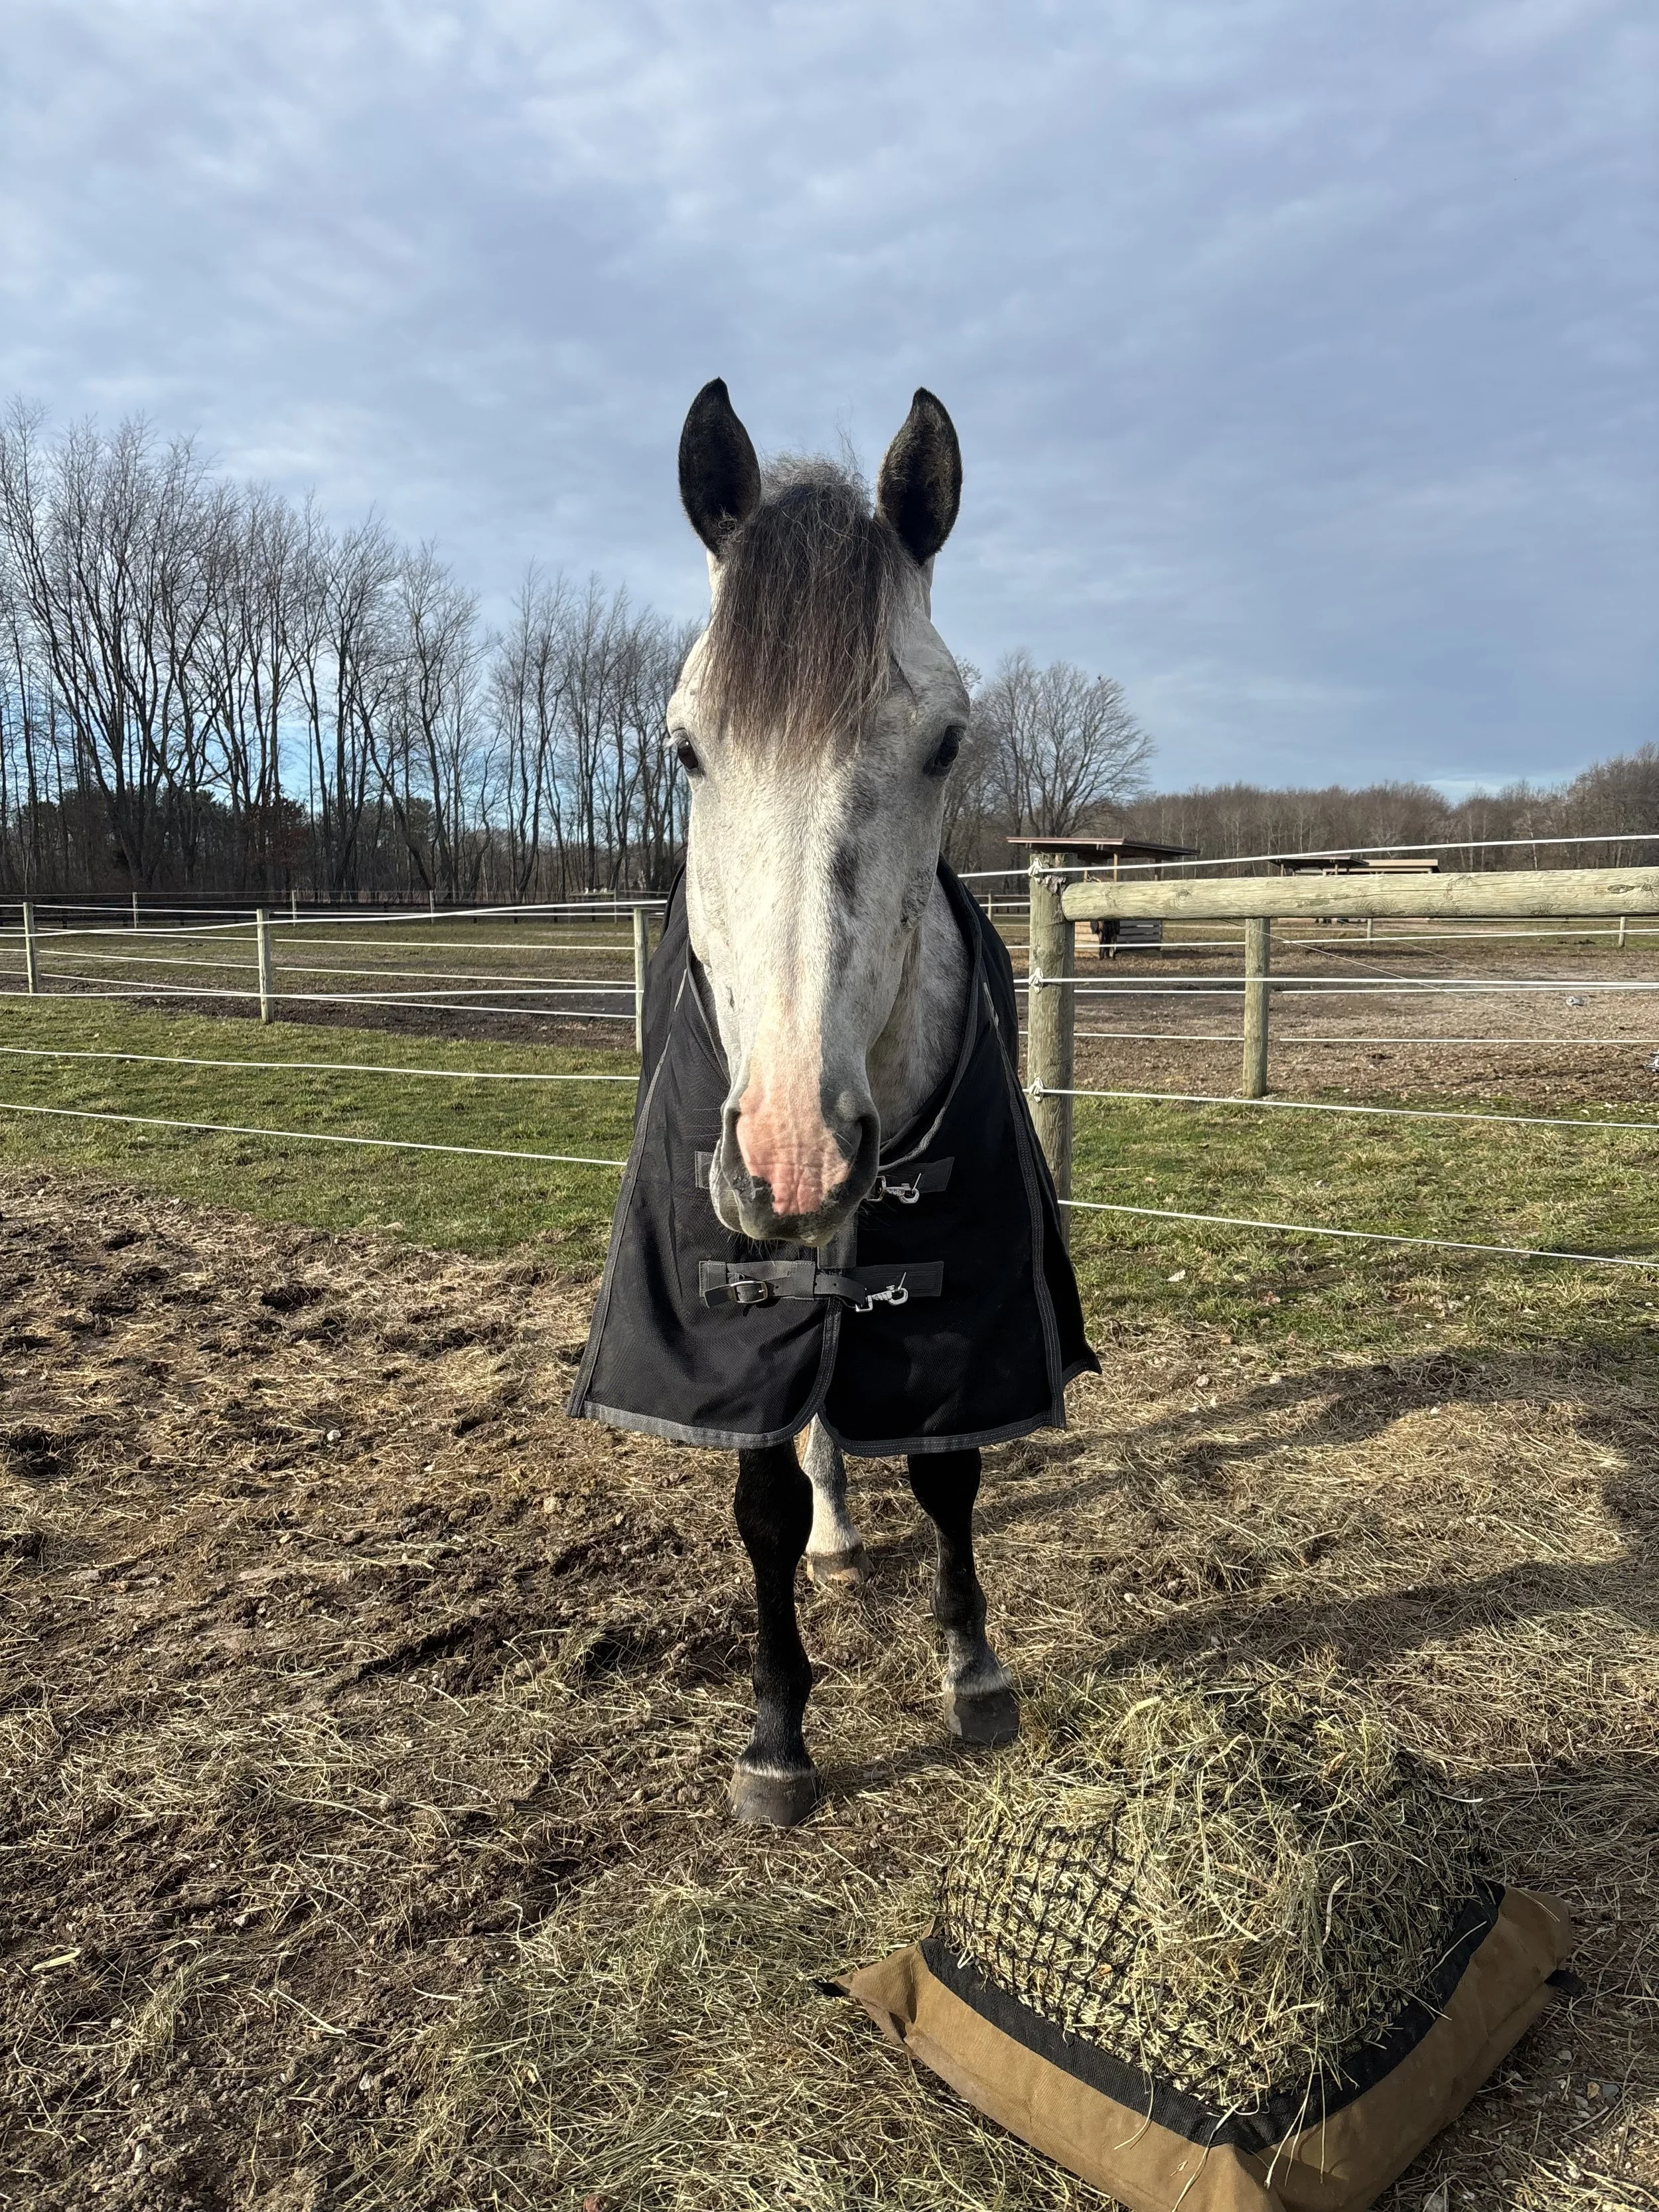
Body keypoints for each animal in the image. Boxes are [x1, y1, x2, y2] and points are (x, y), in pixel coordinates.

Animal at [568, 381, 1095, 1826]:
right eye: (685, 747)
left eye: (946, 742)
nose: (792, 1154)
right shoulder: (722, 1316)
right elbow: (758, 1497)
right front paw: (775, 1735)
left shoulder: (966, 1302)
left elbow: (951, 1463)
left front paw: (971, 1667)